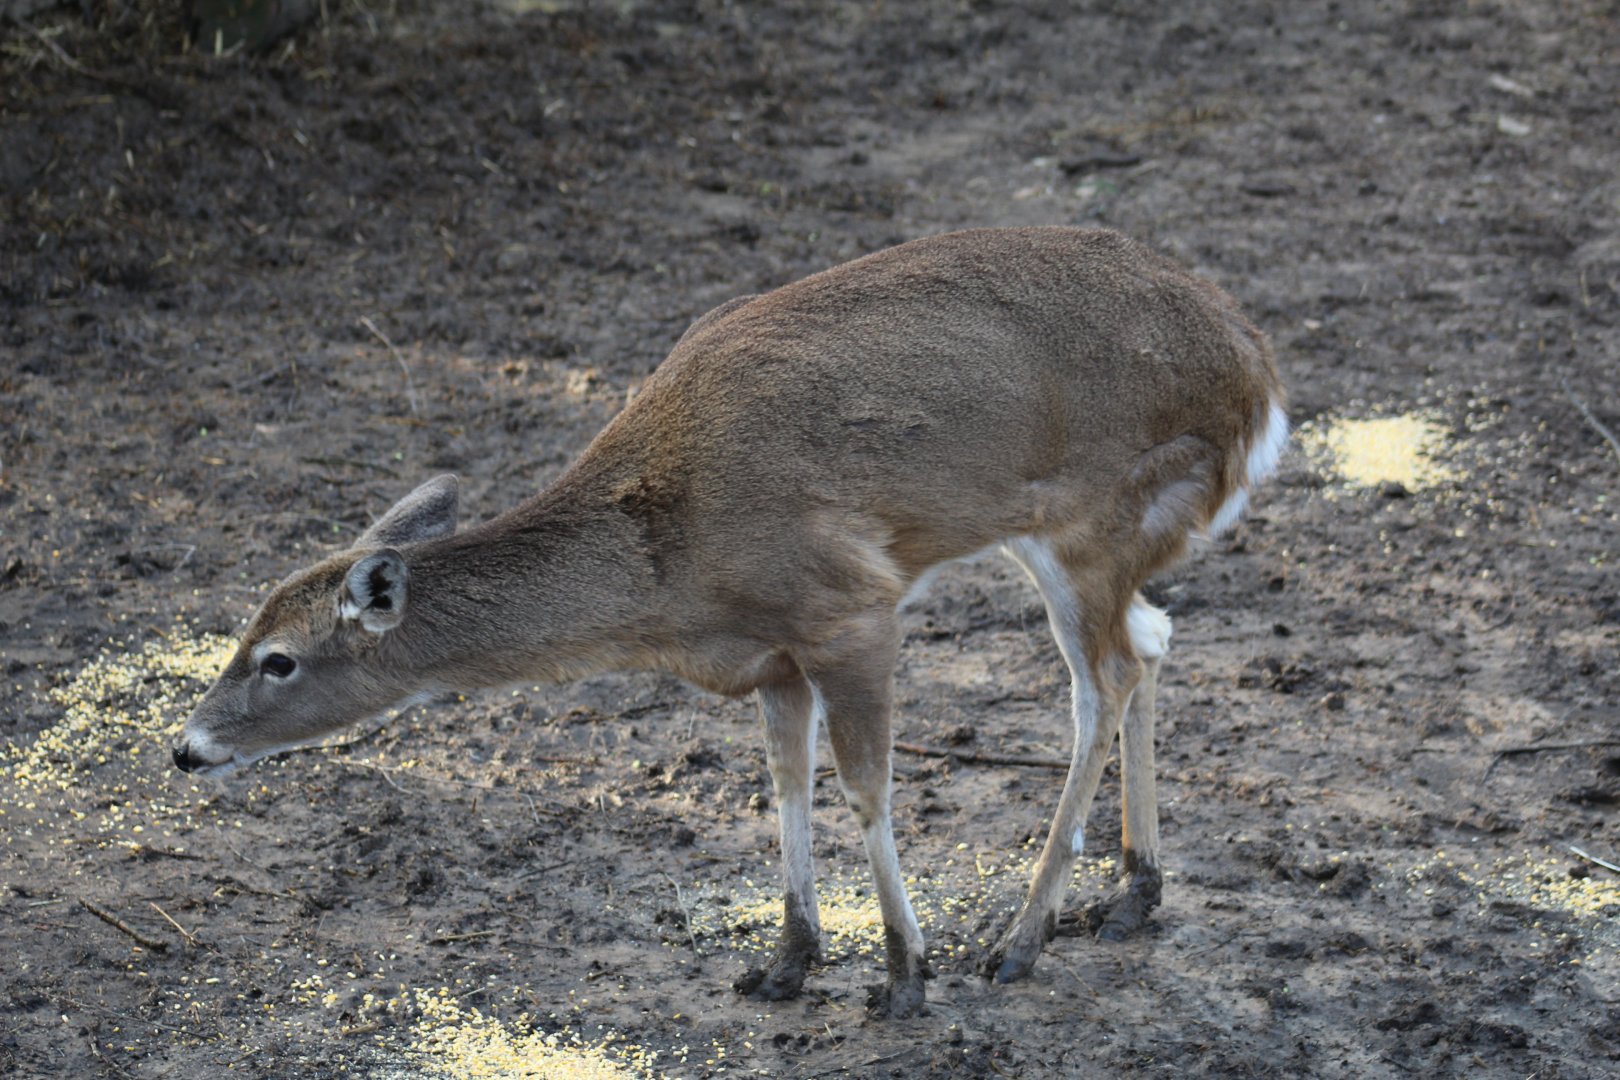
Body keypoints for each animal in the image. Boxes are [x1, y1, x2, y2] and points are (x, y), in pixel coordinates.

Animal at [172, 226, 1287, 1018]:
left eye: (277, 661)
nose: (185, 748)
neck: (675, 566)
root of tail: (1259, 378)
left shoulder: (850, 607)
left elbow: (867, 790)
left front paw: (905, 976)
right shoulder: (772, 657)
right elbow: (784, 784)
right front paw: (787, 963)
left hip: (1097, 514)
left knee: (1102, 685)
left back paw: (1018, 940)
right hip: (1065, 532)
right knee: (1152, 642)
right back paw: (1133, 893)